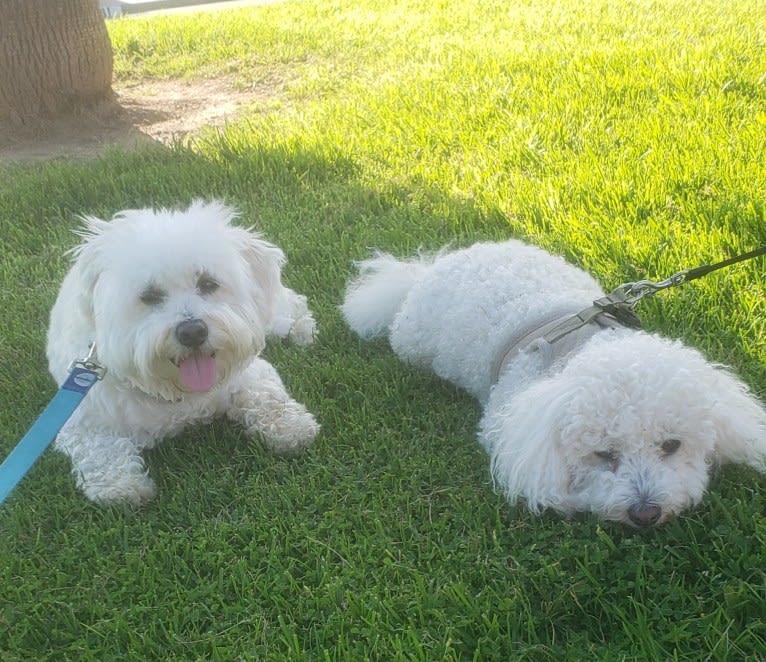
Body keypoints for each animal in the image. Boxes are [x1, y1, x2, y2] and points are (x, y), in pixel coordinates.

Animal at [48, 200, 320, 506]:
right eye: (149, 296)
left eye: (208, 283)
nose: (192, 332)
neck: (177, 392)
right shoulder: (80, 419)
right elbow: (99, 451)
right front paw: (120, 486)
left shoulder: (250, 373)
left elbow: (268, 398)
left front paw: (291, 427)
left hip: (271, 315)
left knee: (292, 301)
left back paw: (303, 331)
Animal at [344, 240, 766, 528]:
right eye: (603, 454)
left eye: (672, 445)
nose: (646, 513)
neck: (581, 343)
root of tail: (430, 267)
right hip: (412, 342)